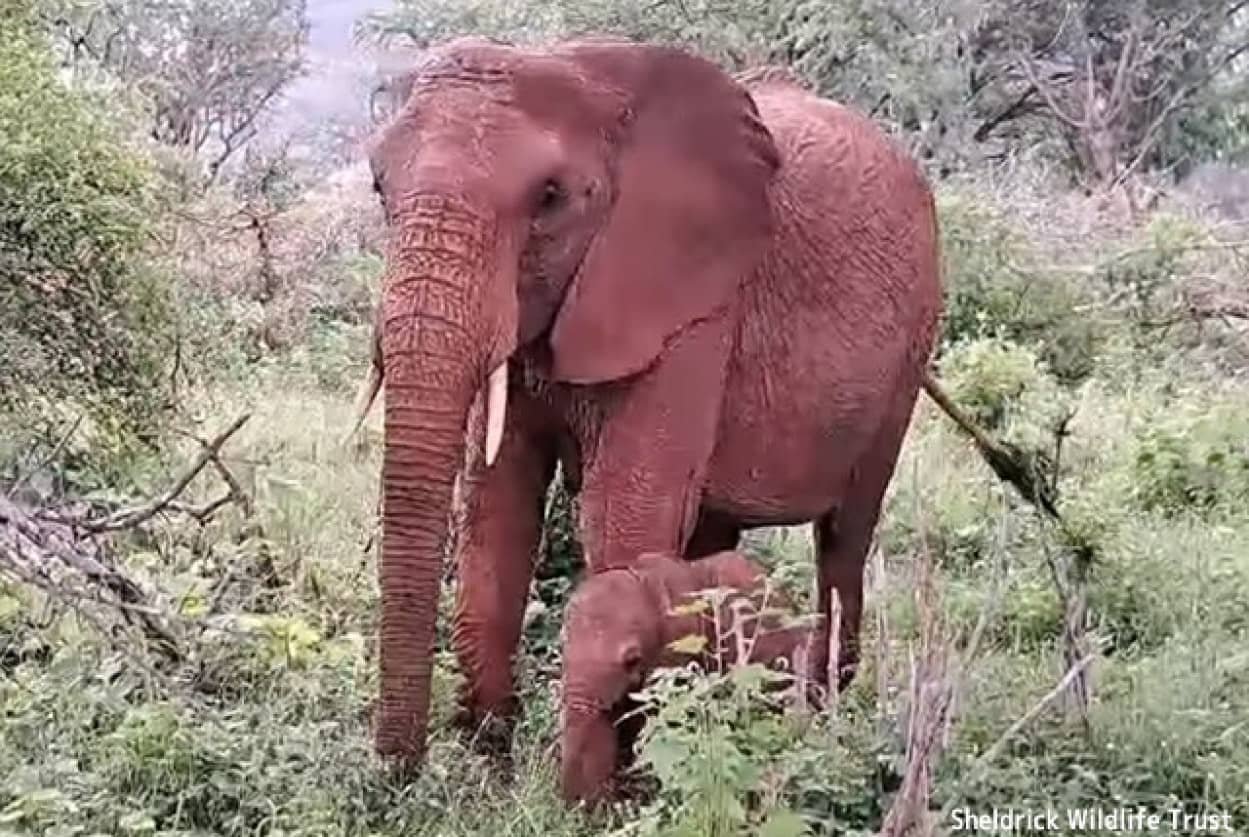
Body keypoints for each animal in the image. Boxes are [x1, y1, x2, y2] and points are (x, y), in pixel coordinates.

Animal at [357, 36, 939, 769]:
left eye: (549, 197)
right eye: (379, 187)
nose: (397, 775)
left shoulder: (692, 302)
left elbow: (625, 512)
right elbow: (497, 504)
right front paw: (490, 764)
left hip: (910, 350)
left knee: (844, 537)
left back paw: (823, 732)